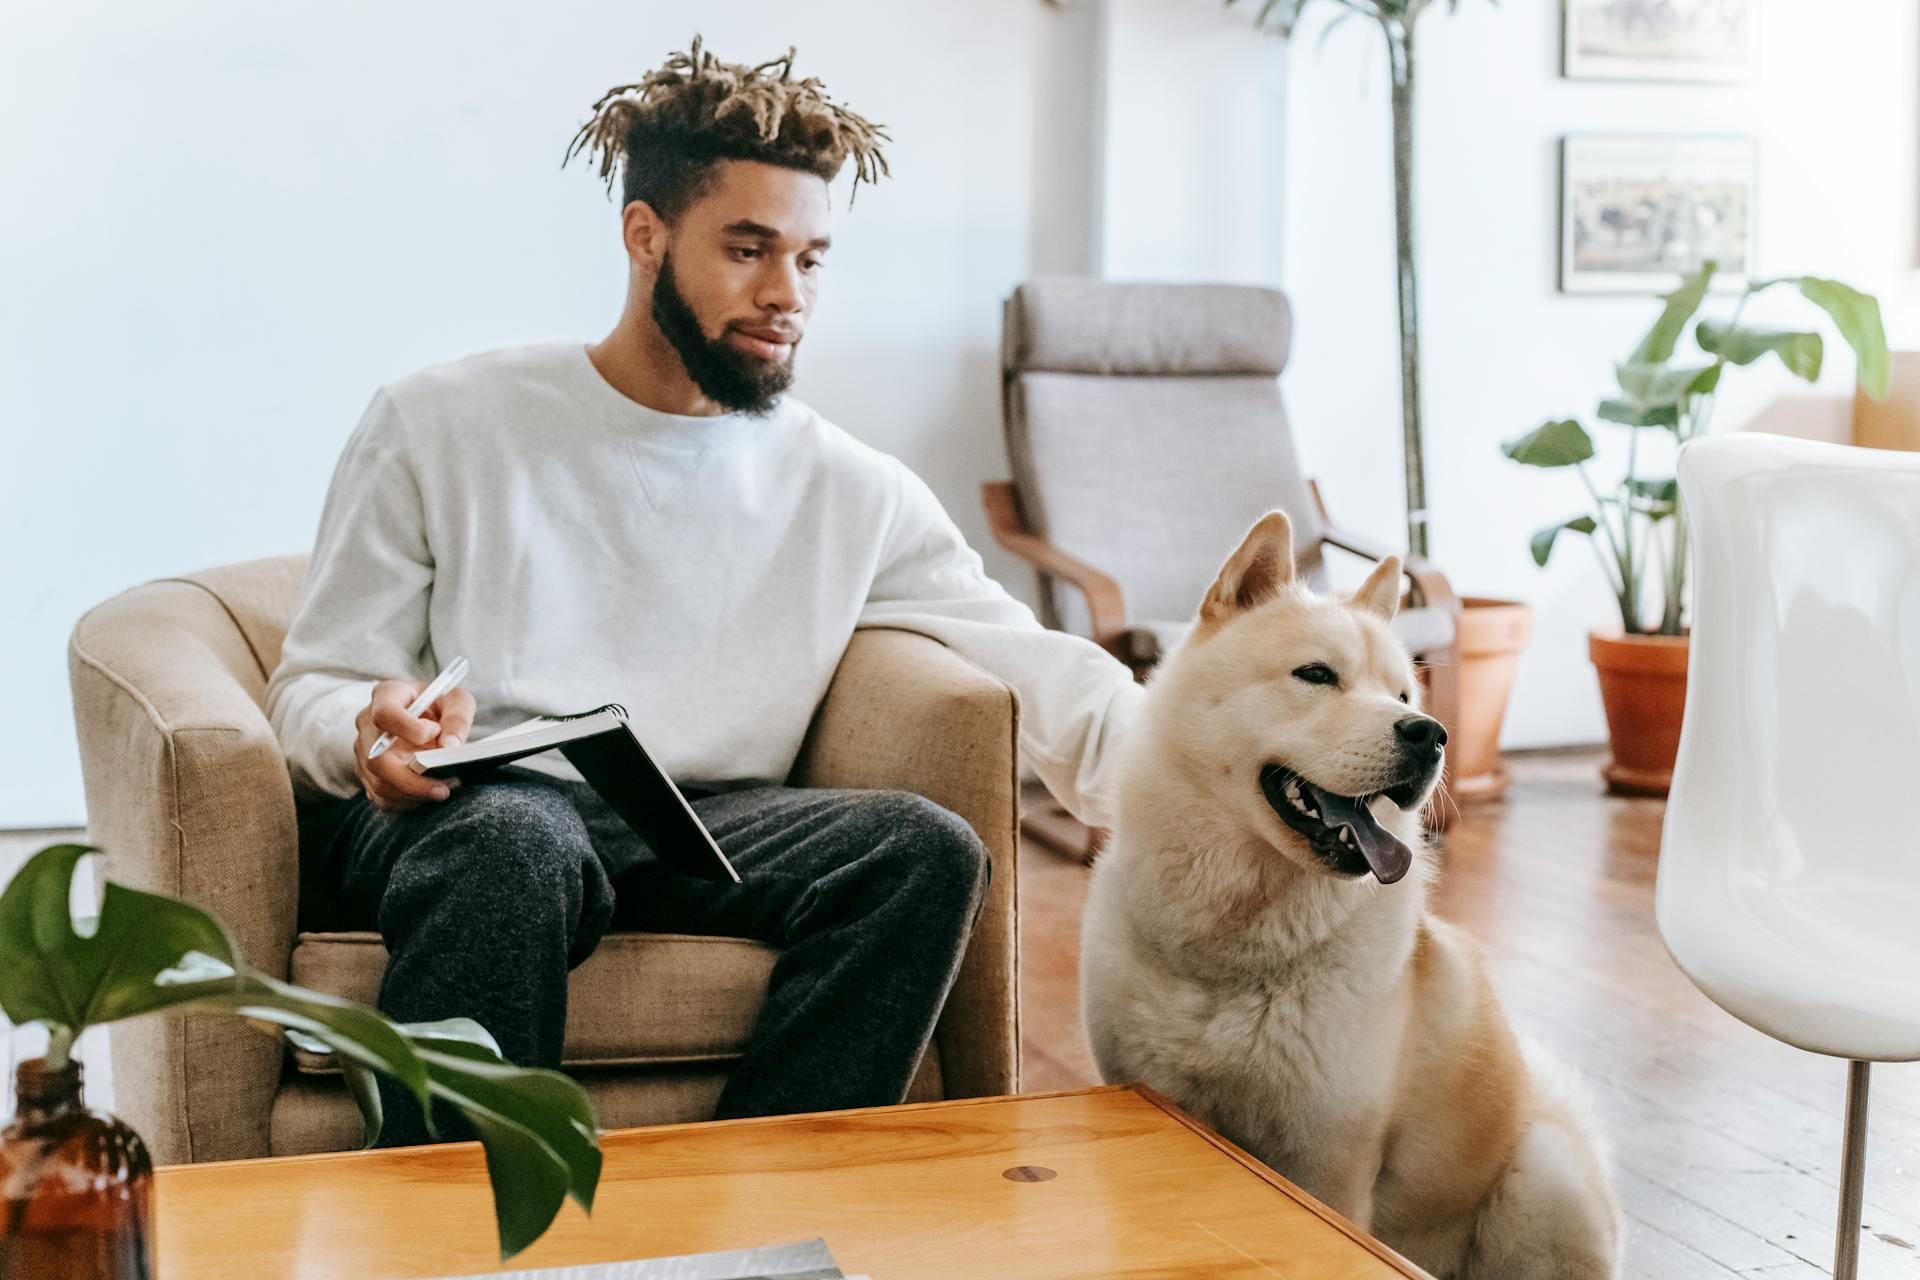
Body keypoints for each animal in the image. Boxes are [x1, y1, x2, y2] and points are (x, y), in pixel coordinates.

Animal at [1082, 514, 1620, 1280]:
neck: (1239, 947)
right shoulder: (1158, 1097)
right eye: (1316, 675)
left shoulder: (1328, 1159)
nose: (1431, 735)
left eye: (1403, 697)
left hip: (1543, 1179)